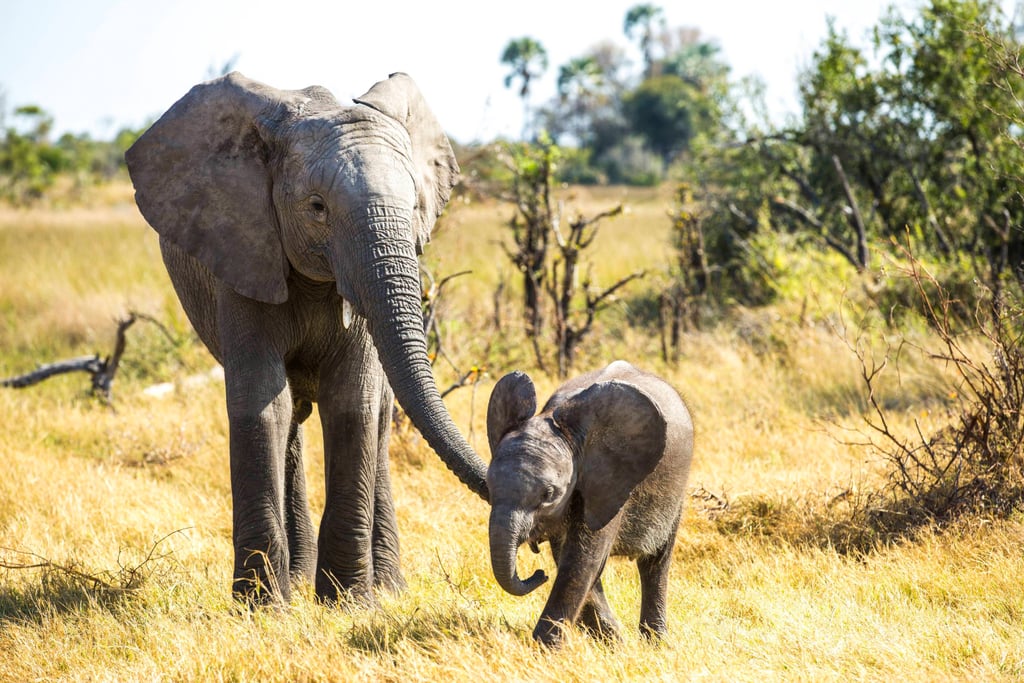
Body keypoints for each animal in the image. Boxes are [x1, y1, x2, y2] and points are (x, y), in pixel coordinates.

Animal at [125, 70, 489, 602]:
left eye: (415, 206)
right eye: (317, 207)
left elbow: (352, 402)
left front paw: (349, 603)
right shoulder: (245, 251)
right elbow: (262, 405)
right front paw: (261, 606)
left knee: (379, 414)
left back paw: (387, 588)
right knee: (292, 417)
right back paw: (296, 582)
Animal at [483, 360, 692, 643]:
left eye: (548, 495)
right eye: (489, 487)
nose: (539, 574)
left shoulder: (612, 480)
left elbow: (583, 560)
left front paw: (543, 648)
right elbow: (573, 558)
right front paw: (613, 640)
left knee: (656, 562)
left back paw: (655, 642)